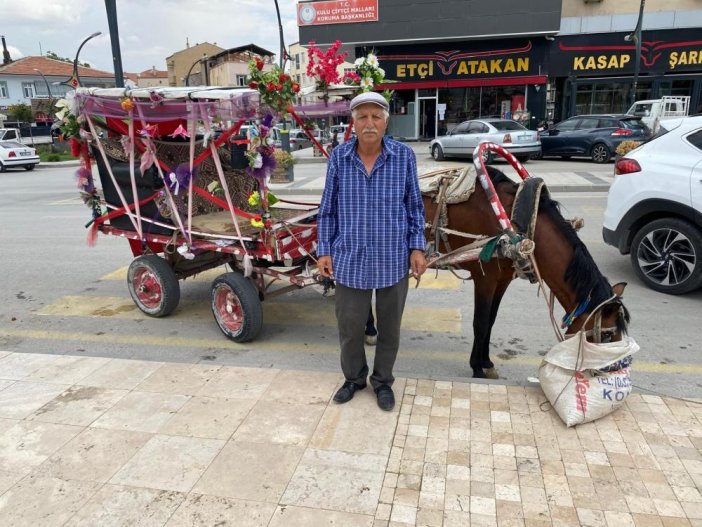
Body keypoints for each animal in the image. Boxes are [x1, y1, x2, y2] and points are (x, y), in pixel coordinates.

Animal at [420, 166, 636, 380]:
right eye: (607, 334)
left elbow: (491, 321)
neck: (514, 225)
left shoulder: (502, 280)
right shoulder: (485, 279)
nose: (617, 368)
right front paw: (477, 367)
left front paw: (486, 362)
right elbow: (480, 323)